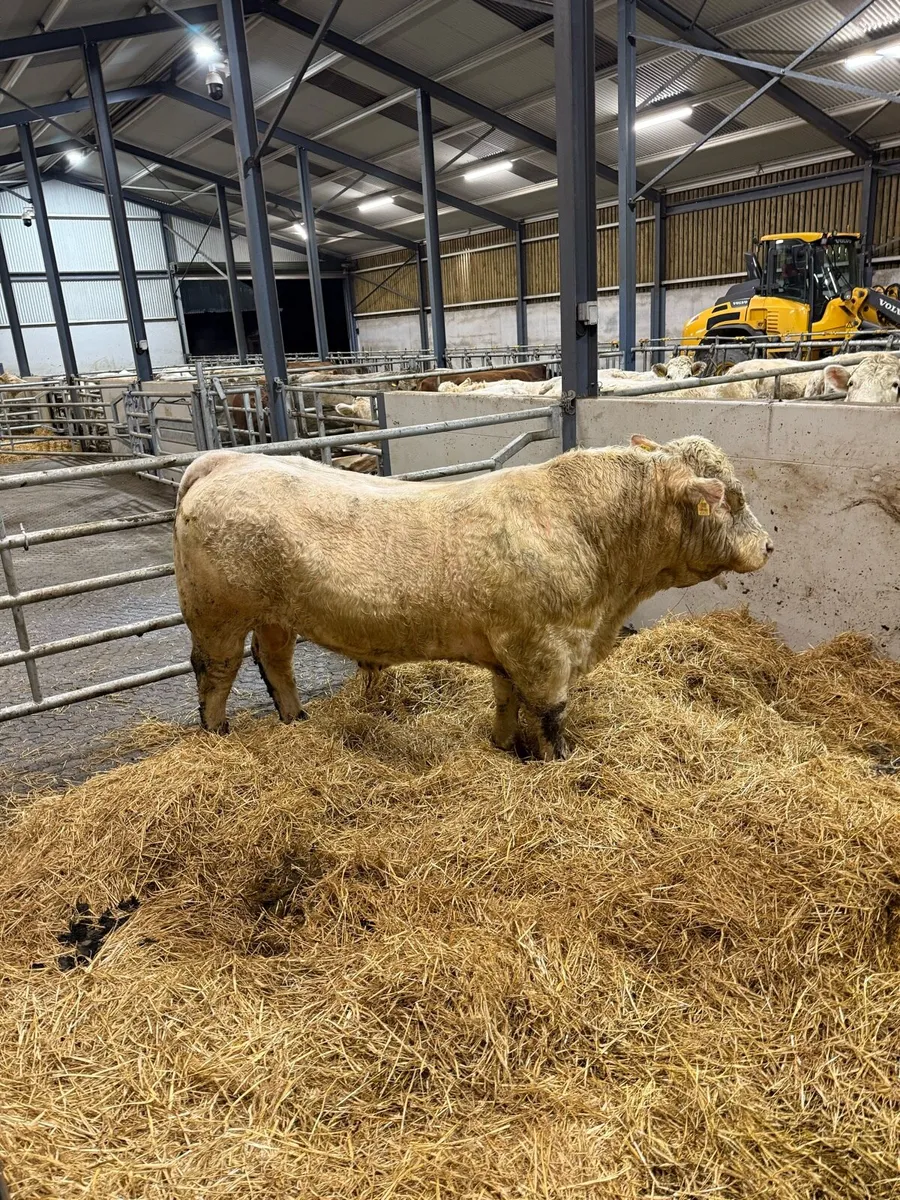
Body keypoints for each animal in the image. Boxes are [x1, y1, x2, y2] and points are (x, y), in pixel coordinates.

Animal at [174, 435, 772, 759]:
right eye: (732, 497)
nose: (768, 545)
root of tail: (227, 459)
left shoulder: (511, 647)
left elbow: (506, 701)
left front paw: (505, 748)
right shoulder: (543, 649)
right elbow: (551, 714)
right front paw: (561, 762)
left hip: (275, 613)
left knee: (274, 661)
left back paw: (296, 720)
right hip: (216, 612)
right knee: (215, 671)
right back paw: (218, 732)